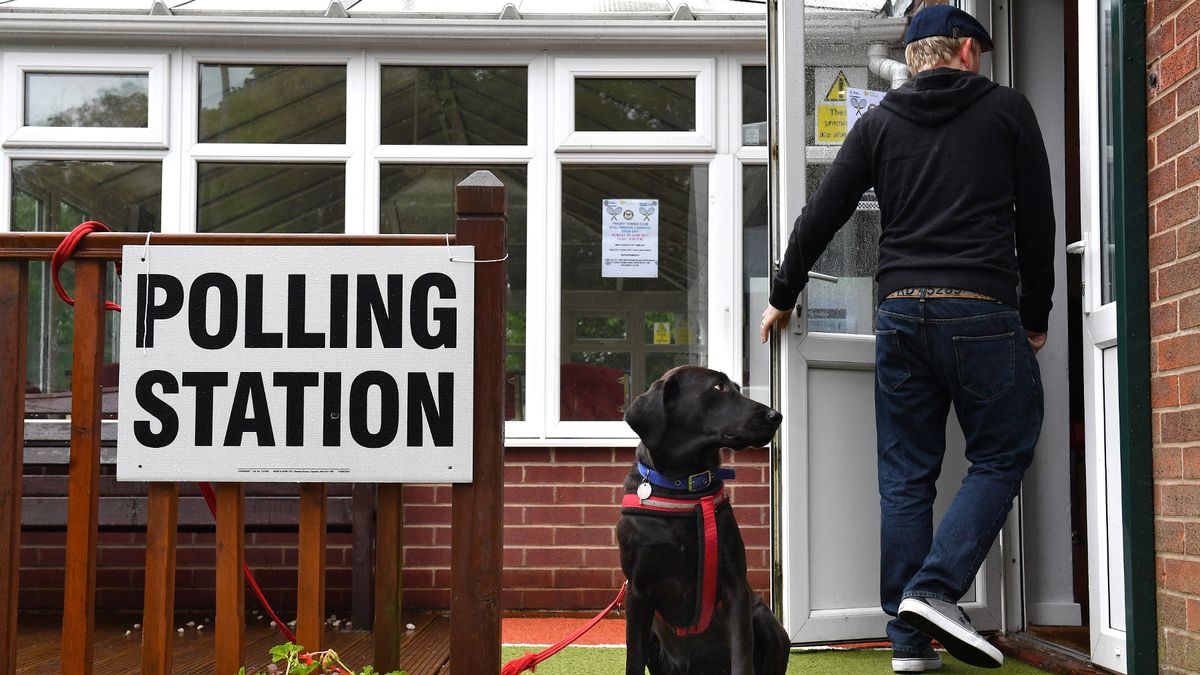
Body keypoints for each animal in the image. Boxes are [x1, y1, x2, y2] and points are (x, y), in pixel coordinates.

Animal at [619, 365, 787, 667]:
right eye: (718, 387)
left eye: (737, 387)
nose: (776, 416)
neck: (682, 488)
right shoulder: (637, 590)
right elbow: (633, 659)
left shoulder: (735, 587)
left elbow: (742, 658)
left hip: (766, 620)